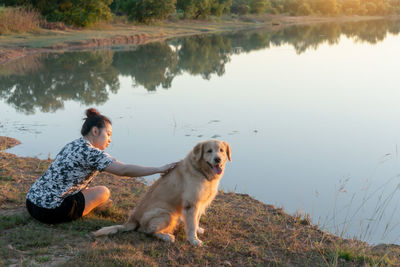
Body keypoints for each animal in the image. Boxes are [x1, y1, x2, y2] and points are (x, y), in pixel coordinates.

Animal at [92, 140, 231, 247]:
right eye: (209, 151)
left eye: (221, 150)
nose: (217, 159)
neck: (200, 170)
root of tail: (132, 219)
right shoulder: (191, 204)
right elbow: (191, 225)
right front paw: (194, 240)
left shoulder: (199, 204)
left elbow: (196, 220)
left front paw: (198, 230)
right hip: (167, 214)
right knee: (146, 231)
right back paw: (166, 236)